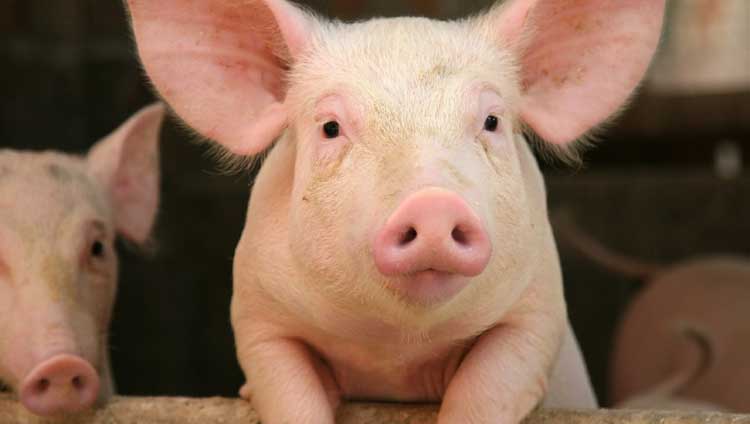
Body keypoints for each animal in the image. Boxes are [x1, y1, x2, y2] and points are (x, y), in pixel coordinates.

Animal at [125, 0, 664, 422]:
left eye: (491, 120)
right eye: (330, 127)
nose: (433, 204)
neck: (396, 353)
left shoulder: (537, 313)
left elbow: (486, 389)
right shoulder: (258, 317)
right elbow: (289, 393)